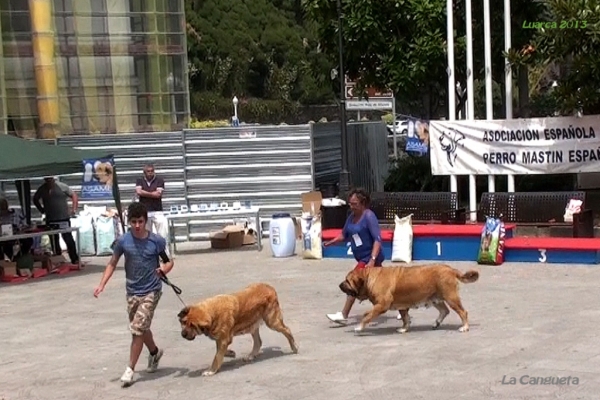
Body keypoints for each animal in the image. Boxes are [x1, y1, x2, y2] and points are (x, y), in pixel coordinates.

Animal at [340, 264, 480, 332]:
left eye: (347, 281)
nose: (339, 285)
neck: (369, 277)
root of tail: (451, 269)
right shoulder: (402, 306)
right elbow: (405, 319)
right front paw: (404, 328)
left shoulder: (381, 305)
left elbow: (367, 315)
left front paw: (359, 327)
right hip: (435, 298)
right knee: (445, 311)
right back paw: (436, 323)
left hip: (451, 297)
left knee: (462, 312)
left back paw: (464, 327)